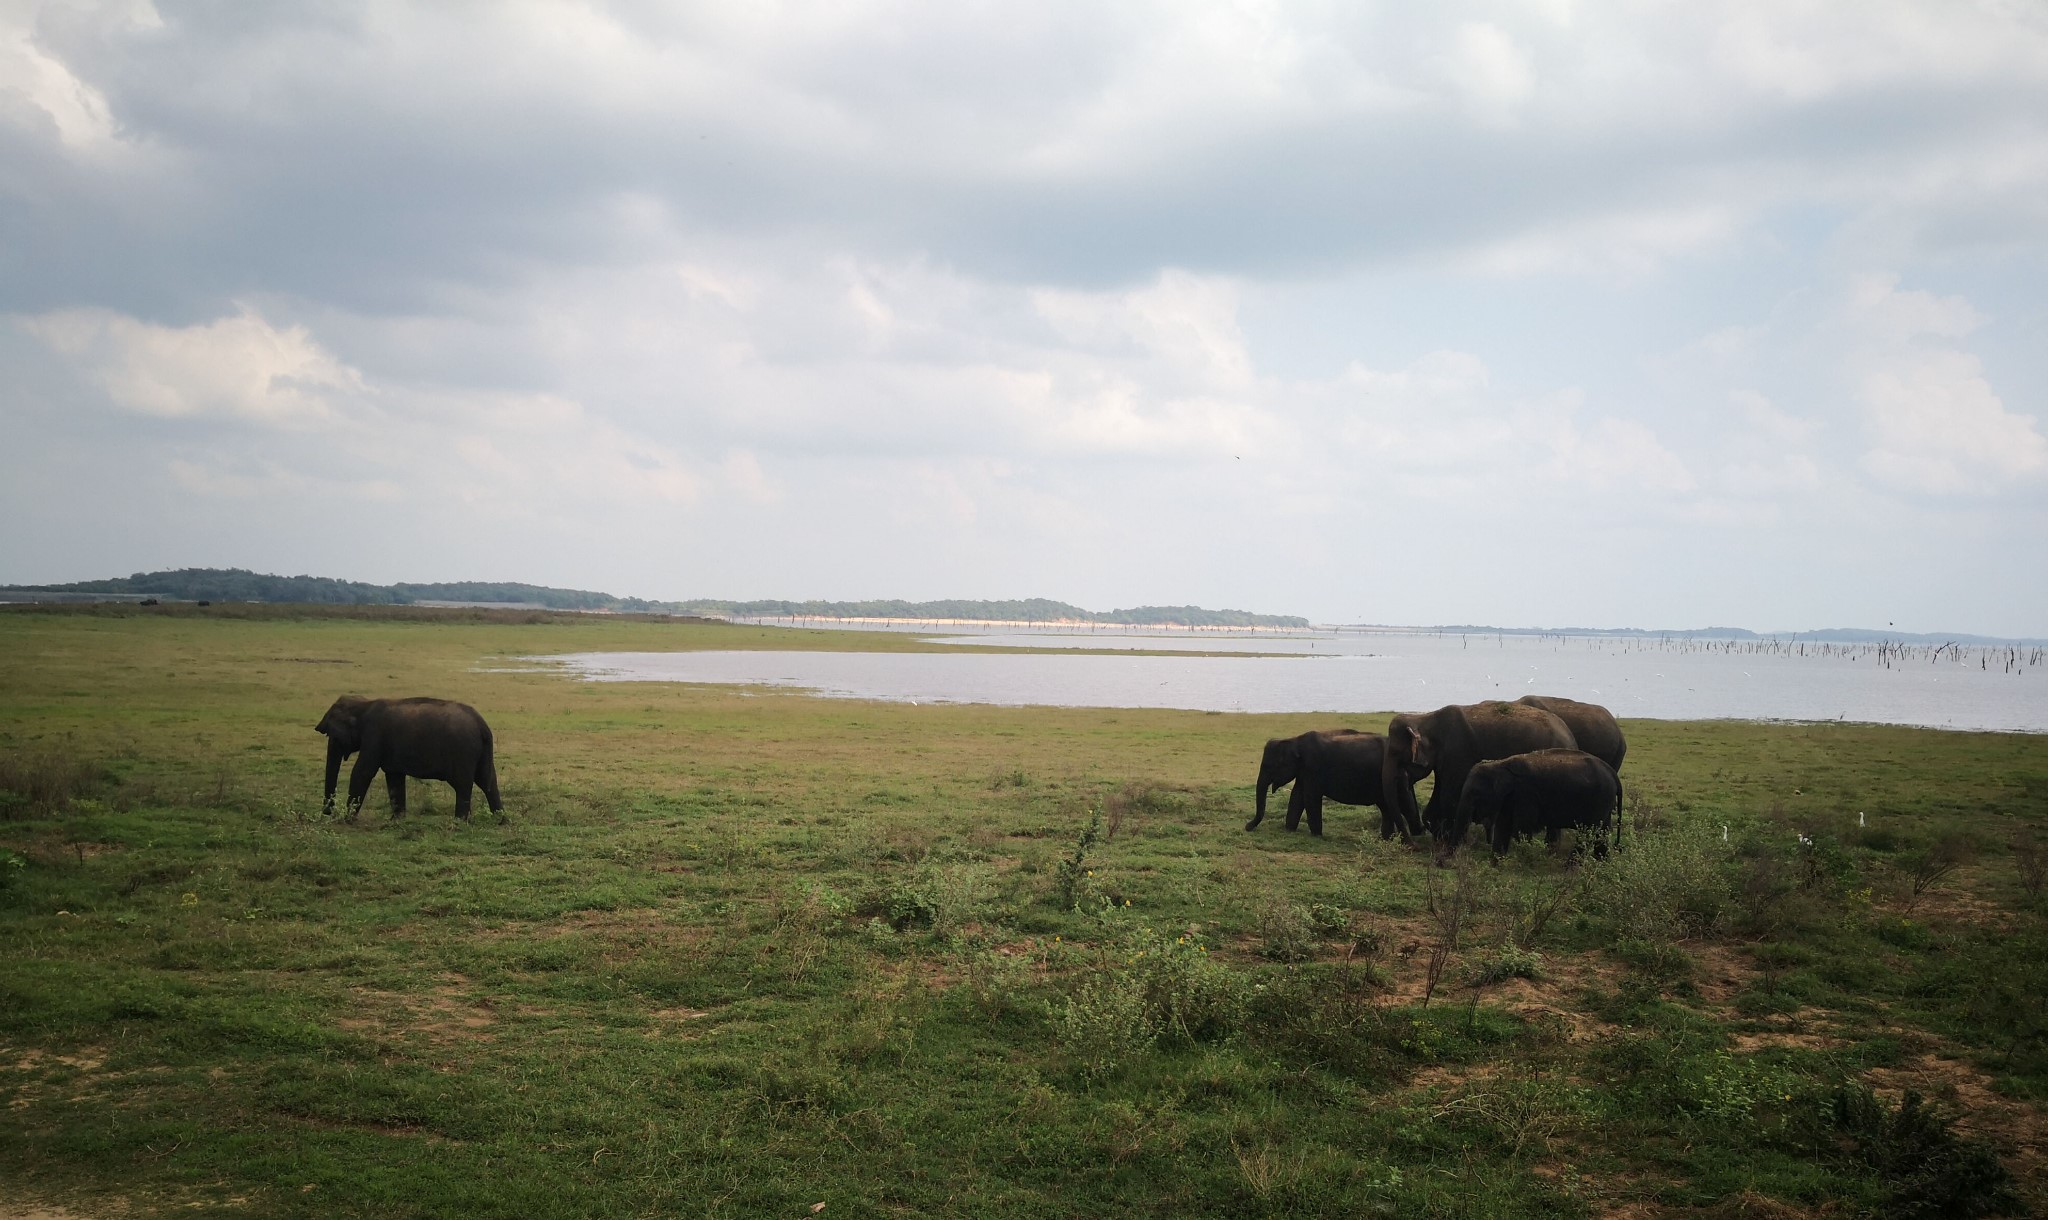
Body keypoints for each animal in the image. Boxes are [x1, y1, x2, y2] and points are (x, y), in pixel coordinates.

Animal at [323, 695, 512, 818]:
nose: (327, 813)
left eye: (333, 735)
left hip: (463, 750)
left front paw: (347, 819)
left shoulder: (374, 735)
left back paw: (460, 821)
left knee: (463, 784)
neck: (363, 704)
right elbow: (394, 777)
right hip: (480, 750)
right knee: (487, 781)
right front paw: (397, 820)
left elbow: (363, 772)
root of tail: (482, 725)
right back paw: (500, 820)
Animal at [1245, 724, 1425, 839]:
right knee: (1387, 807)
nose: (1247, 827)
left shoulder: (1313, 768)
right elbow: (1297, 797)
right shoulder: (1304, 772)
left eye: (1270, 766)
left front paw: (1317, 835)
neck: (1293, 740)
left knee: (1403, 803)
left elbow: (1310, 798)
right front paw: (1289, 830)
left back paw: (1416, 835)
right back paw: (1387, 838)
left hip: (1396, 777)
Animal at [1376, 700, 1581, 851]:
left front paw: (1448, 842)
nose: (1414, 845)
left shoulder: (1458, 753)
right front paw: (1440, 838)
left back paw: (1549, 850)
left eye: (1395, 753)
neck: (1425, 718)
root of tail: (1571, 737)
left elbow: (1450, 798)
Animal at [1449, 749, 1622, 863]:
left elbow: (1521, 829)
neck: (1500, 763)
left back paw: (1570, 868)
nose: (1446, 862)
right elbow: (1503, 827)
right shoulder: (1510, 798)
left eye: (1475, 793)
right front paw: (1495, 863)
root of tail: (1613, 773)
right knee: (1601, 833)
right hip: (1604, 802)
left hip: (1599, 799)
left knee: (1588, 832)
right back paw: (1602, 864)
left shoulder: (1527, 795)